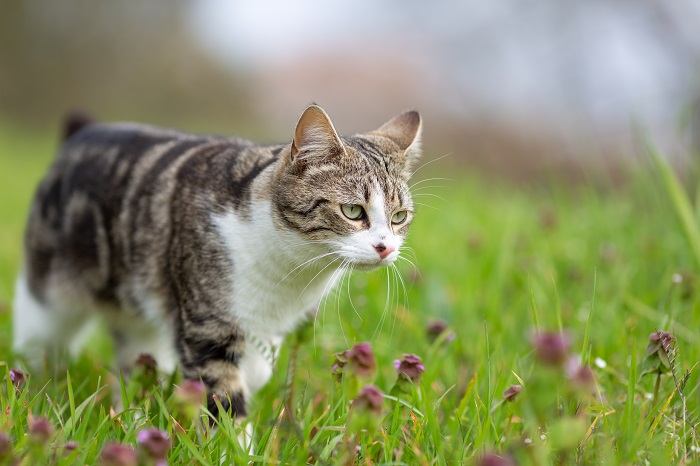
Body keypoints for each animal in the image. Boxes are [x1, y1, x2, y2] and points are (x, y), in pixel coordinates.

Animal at [12, 104, 422, 418]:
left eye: (399, 217)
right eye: (353, 211)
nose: (386, 248)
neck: (291, 272)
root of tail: (84, 132)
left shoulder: (264, 328)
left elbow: (255, 370)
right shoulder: (207, 326)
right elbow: (224, 397)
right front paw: (236, 446)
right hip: (48, 300)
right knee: (37, 339)